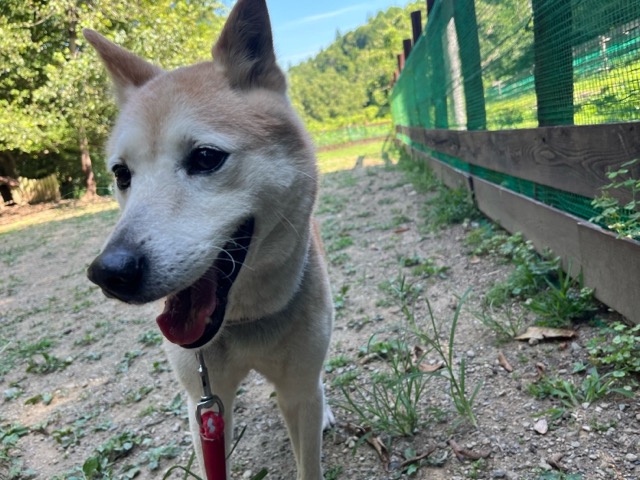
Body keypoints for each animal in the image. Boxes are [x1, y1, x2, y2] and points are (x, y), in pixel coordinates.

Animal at [84, 0, 334, 478]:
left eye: (205, 158)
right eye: (122, 174)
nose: (109, 272)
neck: (245, 320)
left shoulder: (298, 393)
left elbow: (308, 451)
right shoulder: (204, 406)